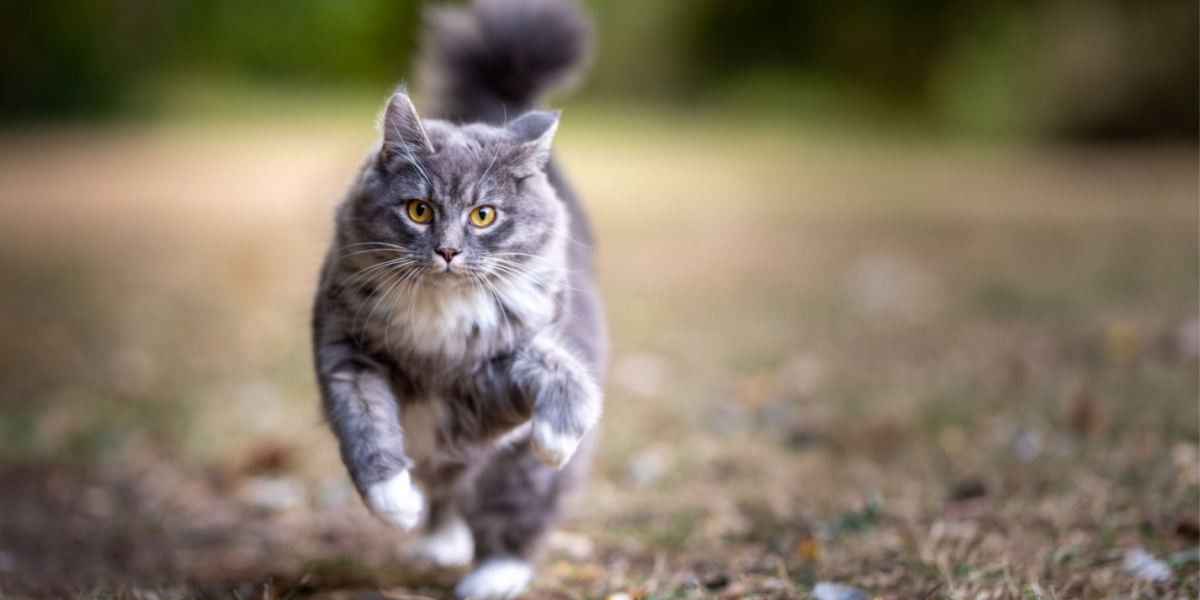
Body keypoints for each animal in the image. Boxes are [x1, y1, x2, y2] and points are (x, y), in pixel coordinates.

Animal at [312, 1, 604, 600]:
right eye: (419, 210)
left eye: (483, 215)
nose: (447, 251)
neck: (436, 323)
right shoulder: (345, 352)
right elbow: (364, 424)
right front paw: (394, 502)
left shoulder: (489, 383)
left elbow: (552, 372)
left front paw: (556, 435)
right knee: (446, 498)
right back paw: (437, 542)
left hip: (516, 482)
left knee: (511, 519)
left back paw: (491, 576)